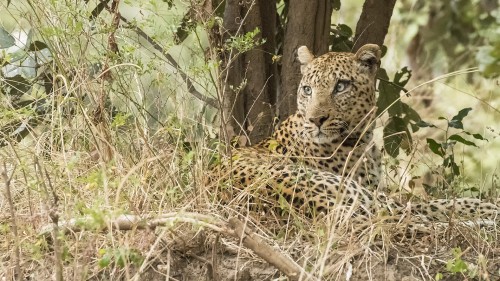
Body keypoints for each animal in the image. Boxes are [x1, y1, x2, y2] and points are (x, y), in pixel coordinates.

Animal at [209, 43, 498, 223]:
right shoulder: (370, 189)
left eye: (341, 86)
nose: (316, 119)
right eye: (307, 89)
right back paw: (485, 212)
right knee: (418, 208)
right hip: (353, 193)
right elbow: (424, 202)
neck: (362, 139)